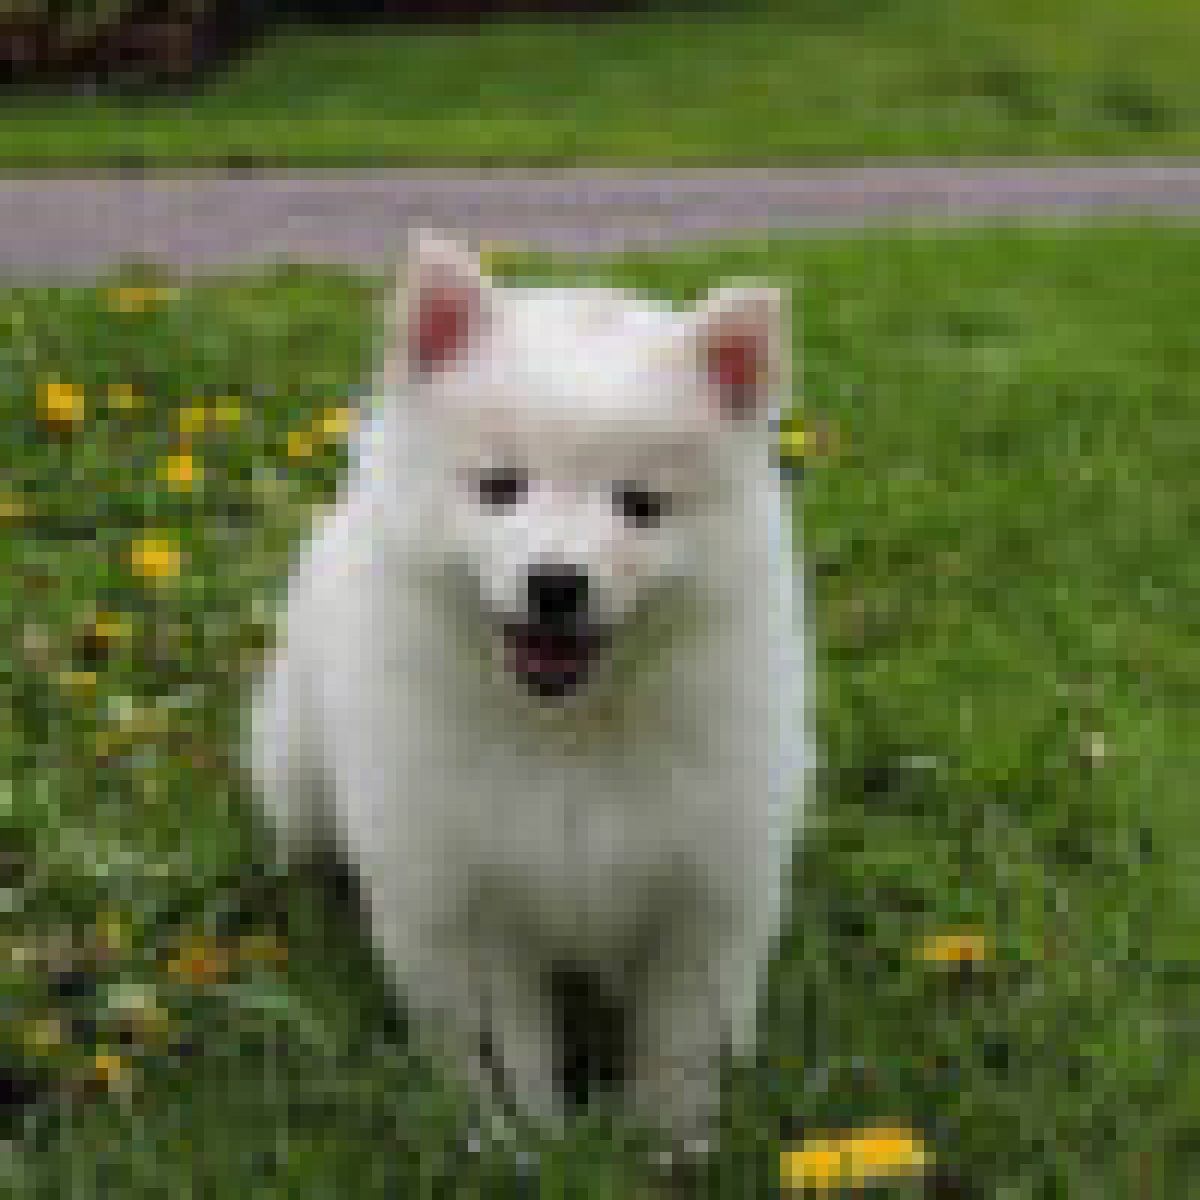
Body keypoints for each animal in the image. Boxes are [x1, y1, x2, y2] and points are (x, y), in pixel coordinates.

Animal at [248, 231, 811, 1161]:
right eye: (499, 487)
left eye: (641, 505)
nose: (556, 583)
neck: (565, 733)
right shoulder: (469, 898)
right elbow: (505, 1044)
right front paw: (525, 1143)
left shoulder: (704, 887)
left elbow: (679, 1036)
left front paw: (671, 1145)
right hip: (298, 770)